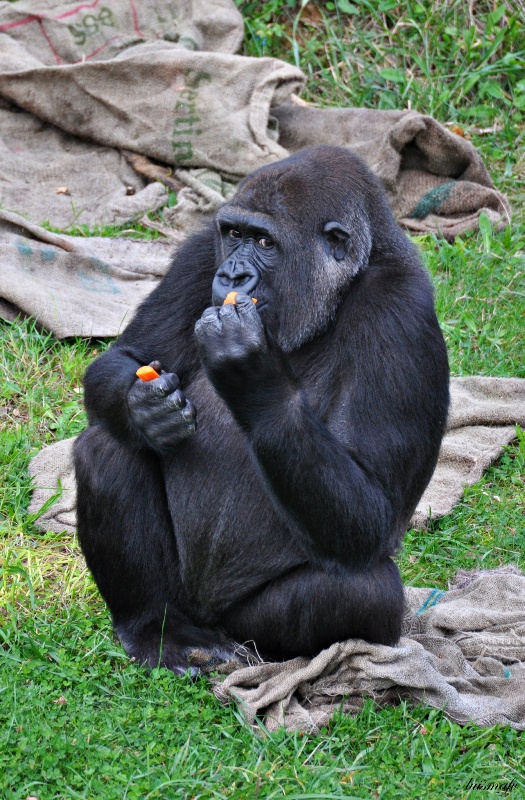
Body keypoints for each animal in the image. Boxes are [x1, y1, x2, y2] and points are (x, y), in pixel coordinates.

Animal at [73, 145, 448, 676]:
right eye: (233, 234)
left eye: (265, 242)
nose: (232, 275)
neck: (342, 288)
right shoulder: (197, 253)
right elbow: (125, 357)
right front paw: (146, 410)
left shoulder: (402, 312)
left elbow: (372, 513)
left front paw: (253, 376)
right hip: (186, 605)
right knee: (106, 448)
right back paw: (156, 628)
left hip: (241, 624)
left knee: (362, 590)